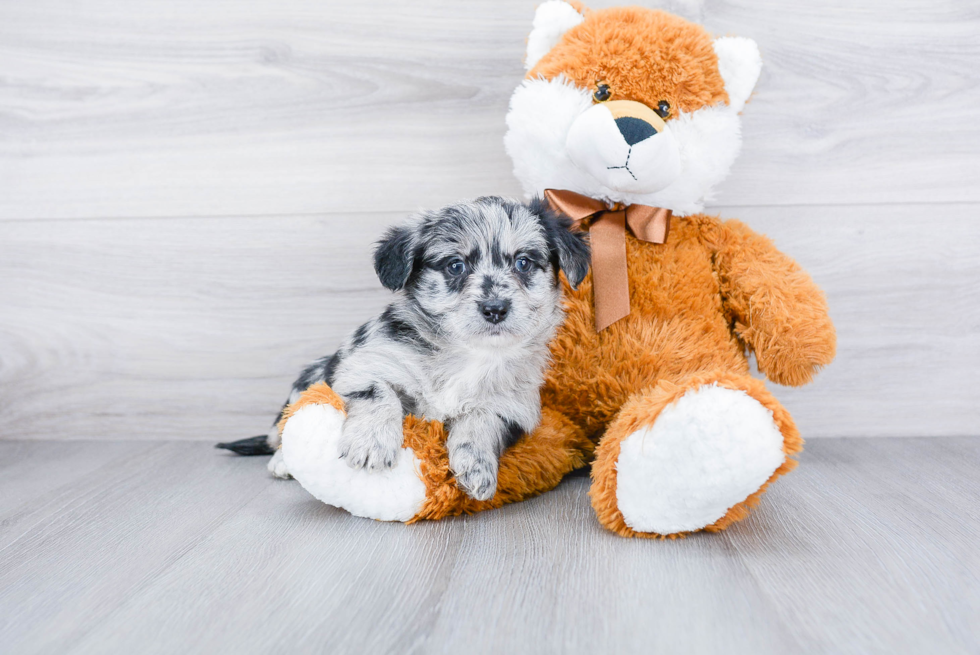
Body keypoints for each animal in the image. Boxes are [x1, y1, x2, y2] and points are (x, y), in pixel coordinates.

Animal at [220, 197, 588, 500]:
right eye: (456, 265)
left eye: (524, 263)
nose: (495, 309)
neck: (470, 354)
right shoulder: (365, 365)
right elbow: (380, 395)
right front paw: (371, 444)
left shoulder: (512, 407)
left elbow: (481, 421)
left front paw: (477, 467)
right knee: (284, 428)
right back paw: (282, 461)